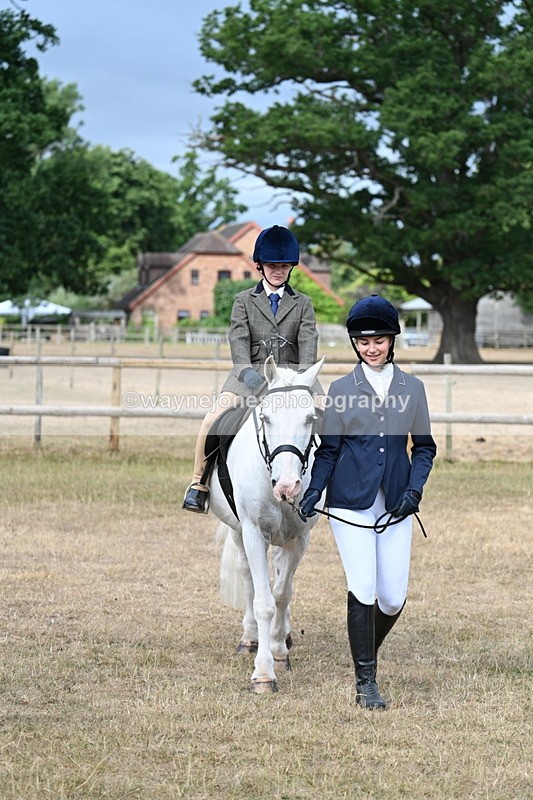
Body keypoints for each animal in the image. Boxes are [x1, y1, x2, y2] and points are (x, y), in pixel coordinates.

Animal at [209, 355, 325, 693]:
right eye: (266, 418)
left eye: (310, 418)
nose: (287, 486)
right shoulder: (253, 532)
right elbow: (263, 601)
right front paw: (263, 672)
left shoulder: (299, 538)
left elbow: (282, 593)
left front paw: (279, 651)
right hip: (239, 532)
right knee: (248, 578)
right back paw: (249, 638)